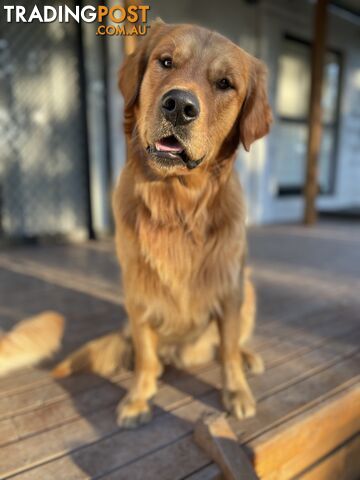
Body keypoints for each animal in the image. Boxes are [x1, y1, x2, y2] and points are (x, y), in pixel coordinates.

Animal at [54, 20, 272, 430]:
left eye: (225, 84)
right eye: (166, 61)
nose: (180, 106)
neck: (177, 204)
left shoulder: (230, 288)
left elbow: (228, 350)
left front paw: (236, 391)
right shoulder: (138, 292)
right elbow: (144, 352)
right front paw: (139, 398)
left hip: (248, 289)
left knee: (232, 345)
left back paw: (248, 357)